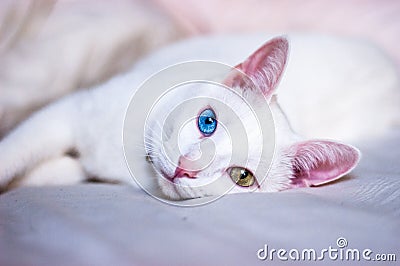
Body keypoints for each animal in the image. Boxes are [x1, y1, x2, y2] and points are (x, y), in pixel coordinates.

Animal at [0, 33, 400, 200]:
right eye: (208, 121)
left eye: (242, 176)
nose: (186, 168)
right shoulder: (68, 112)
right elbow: (16, 150)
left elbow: (50, 171)